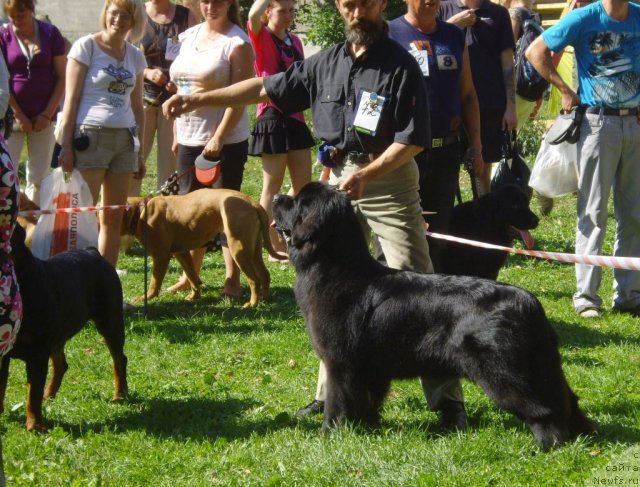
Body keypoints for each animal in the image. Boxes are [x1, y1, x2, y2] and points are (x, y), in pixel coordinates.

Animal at [0, 224, 129, 430]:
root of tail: (92, 251)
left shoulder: (38, 352)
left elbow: (33, 393)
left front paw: (35, 425)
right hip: (58, 333)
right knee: (61, 364)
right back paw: (49, 394)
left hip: (110, 320)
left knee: (119, 358)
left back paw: (120, 393)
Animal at [121, 189, 286, 306]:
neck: (140, 211)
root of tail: (253, 202)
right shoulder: (182, 253)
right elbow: (192, 277)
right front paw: (195, 296)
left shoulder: (161, 256)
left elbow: (154, 283)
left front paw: (145, 298)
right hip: (254, 249)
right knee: (264, 274)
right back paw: (265, 298)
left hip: (238, 250)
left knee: (254, 279)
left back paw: (252, 304)